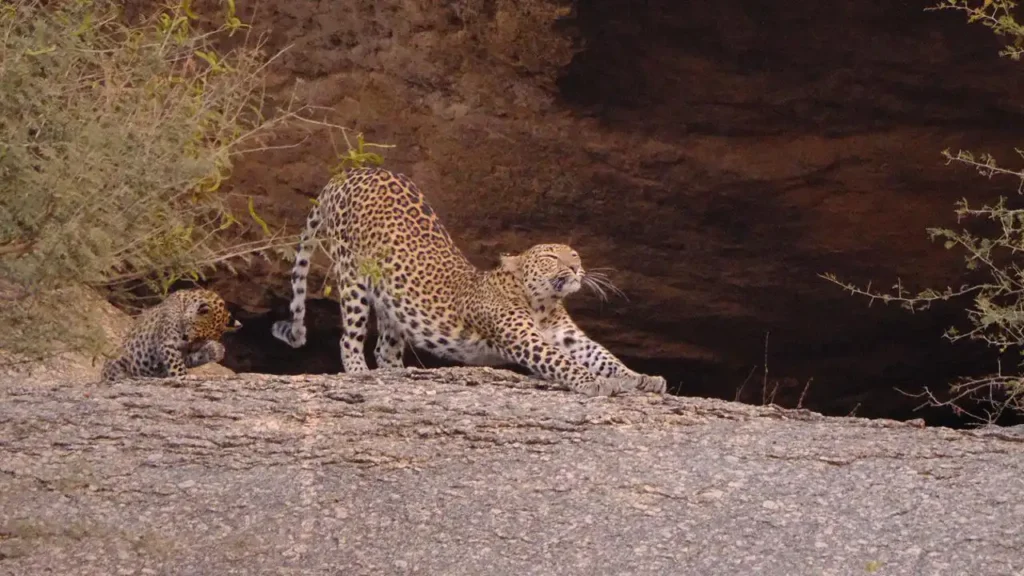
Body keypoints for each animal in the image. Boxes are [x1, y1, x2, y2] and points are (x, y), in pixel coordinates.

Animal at [100, 288, 242, 382]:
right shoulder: (169, 344)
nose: (190, 346)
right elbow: (177, 365)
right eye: (197, 335)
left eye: (204, 340)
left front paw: (215, 350)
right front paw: (184, 376)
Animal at [271, 167, 667, 397]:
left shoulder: (569, 336)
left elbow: (603, 355)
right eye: (552, 257)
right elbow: (559, 360)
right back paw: (359, 373)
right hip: (352, 274)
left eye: (576, 255)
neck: (542, 302)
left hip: (392, 298)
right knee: (349, 337)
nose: (577, 269)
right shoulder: (524, 338)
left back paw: (398, 374)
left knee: (385, 347)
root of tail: (349, 173)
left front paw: (641, 377)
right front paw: (592, 382)